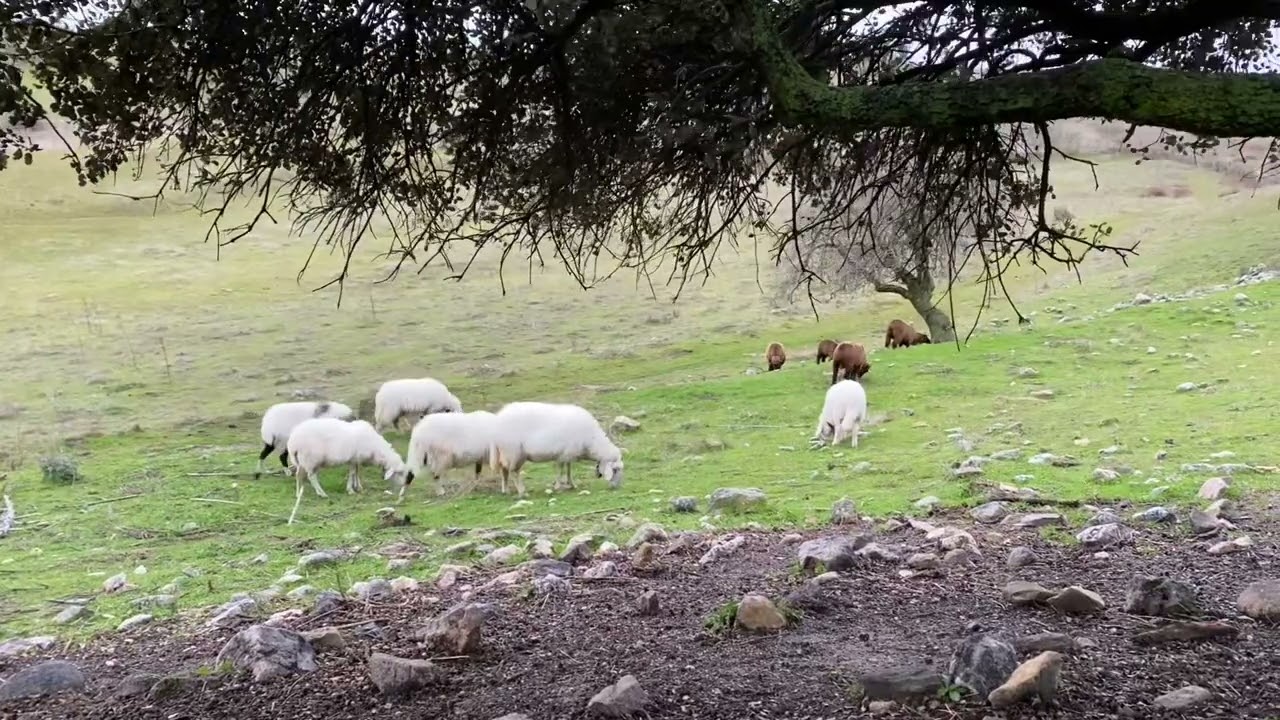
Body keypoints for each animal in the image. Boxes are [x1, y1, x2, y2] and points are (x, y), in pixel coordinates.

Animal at [285, 417, 413, 524]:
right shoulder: (353, 458)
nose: (406, 485)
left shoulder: (356, 459)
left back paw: (298, 493)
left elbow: (357, 472)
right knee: (312, 477)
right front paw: (351, 490)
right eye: (400, 473)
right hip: (311, 459)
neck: (375, 449)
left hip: (302, 460)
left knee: (298, 475)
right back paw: (321, 493)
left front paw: (358, 487)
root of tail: (293, 440)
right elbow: (352, 473)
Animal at [488, 401, 624, 497]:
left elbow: (568, 470)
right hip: (514, 452)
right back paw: (522, 492)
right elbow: (561, 470)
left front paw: (572, 484)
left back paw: (505, 490)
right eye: (615, 470)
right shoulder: (563, 455)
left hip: (506, 452)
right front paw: (558, 486)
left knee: (504, 470)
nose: (616, 487)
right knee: (513, 472)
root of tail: (498, 420)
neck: (592, 441)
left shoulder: (568, 454)